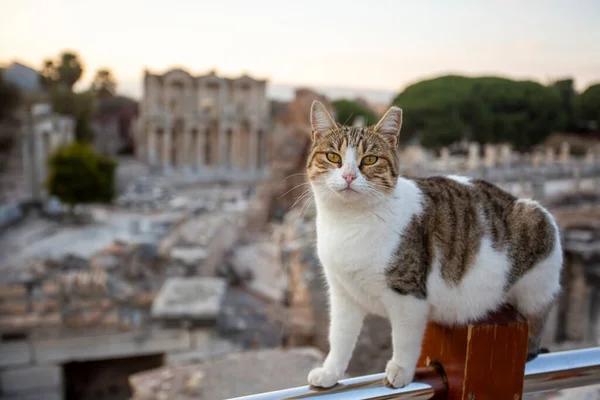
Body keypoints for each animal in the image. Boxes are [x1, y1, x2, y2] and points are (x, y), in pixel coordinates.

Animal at [304, 101, 564, 390]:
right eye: (333, 157)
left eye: (370, 160)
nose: (349, 175)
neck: (350, 223)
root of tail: (514, 198)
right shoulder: (343, 294)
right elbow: (340, 337)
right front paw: (331, 372)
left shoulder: (408, 294)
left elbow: (405, 338)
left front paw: (401, 370)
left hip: (537, 247)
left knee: (540, 313)